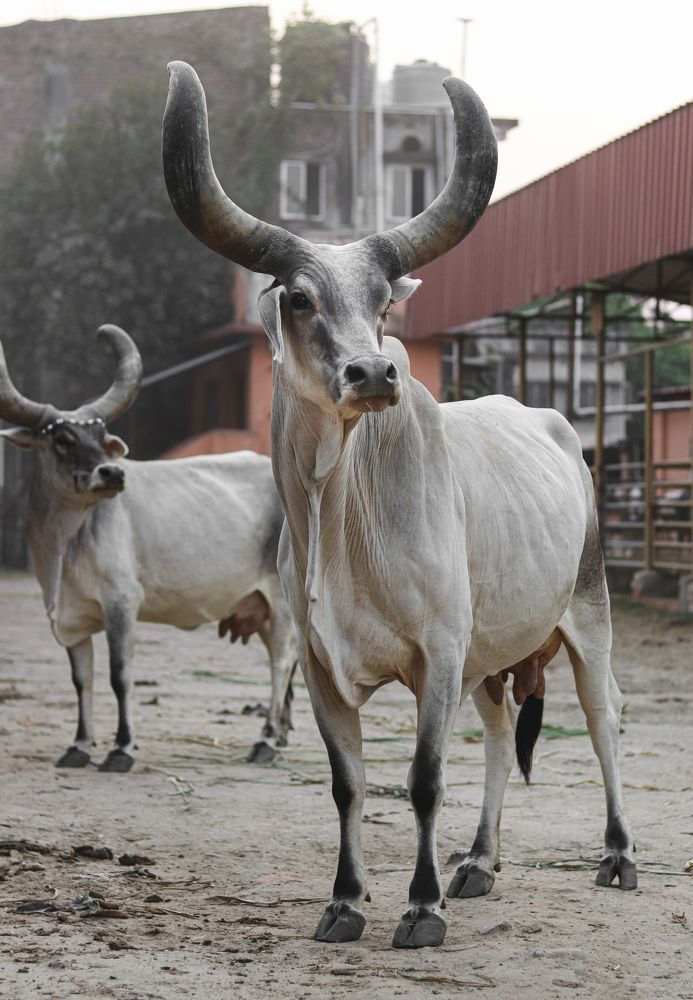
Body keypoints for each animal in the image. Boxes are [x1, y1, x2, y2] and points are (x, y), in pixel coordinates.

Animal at [0, 325, 297, 771]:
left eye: (102, 437)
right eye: (63, 440)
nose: (112, 473)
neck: (63, 545)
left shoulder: (121, 602)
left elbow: (120, 675)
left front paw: (121, 748)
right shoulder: (70, 618)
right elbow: (81, 680)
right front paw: (79, 746)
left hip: (280, 601)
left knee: (282, 662)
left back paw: (264, 741)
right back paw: (279, 735)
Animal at [162, 62, 637, 949]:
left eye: (384, 302)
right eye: (300, 298)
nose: (373, 374)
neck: (338, 513)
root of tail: (556, 424)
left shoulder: (437, 655)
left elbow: (421, 781)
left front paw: (419, 907)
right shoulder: (322, 667)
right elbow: (348, 785)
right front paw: (346, 901)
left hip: (587, 615)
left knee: (602, 720)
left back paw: (618, 855)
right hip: (491, 654)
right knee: (498, 737)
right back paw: (478, 862)